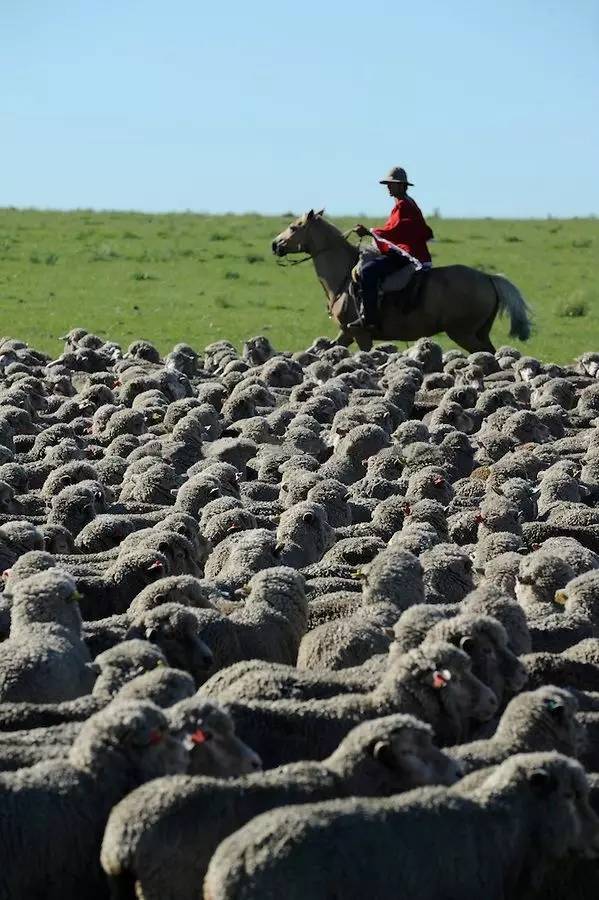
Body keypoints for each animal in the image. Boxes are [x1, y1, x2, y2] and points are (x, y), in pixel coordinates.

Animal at [270, 209, 528, 354]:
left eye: (293, 227)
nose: (275, 244)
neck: (343, 277)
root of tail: (488, 277)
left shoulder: (360, 334)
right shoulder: (345, 333)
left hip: (463, 334)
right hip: (479, 333)